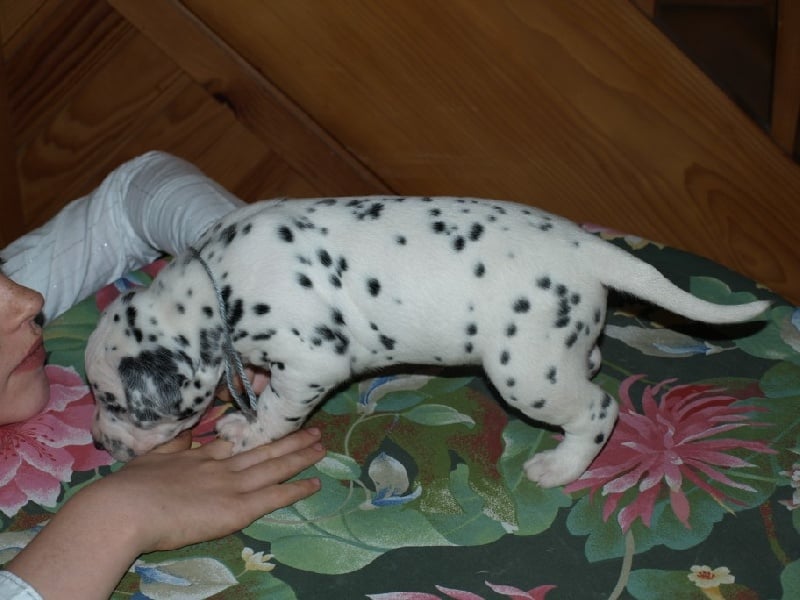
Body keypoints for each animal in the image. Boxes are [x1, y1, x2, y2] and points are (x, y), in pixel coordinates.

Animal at [85, 197, 769, 487]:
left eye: (117, 405)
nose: (97, 441)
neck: (216, 287)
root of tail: (590, 249)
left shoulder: (312, 360)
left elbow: (278, 408)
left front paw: (249, 430)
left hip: (525, 372)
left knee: (598, 410)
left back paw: (561, 465)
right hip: (556, 350)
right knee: (590, 363)